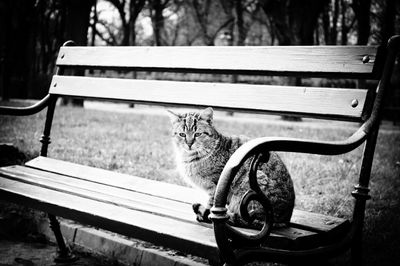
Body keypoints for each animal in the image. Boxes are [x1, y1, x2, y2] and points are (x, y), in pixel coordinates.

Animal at [167, 106, 296, 229]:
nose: (189, 144)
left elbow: (211, 205)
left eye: (198, 134)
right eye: (182, 134)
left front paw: (205, 214)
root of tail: (285, 219)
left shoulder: (215, 187)